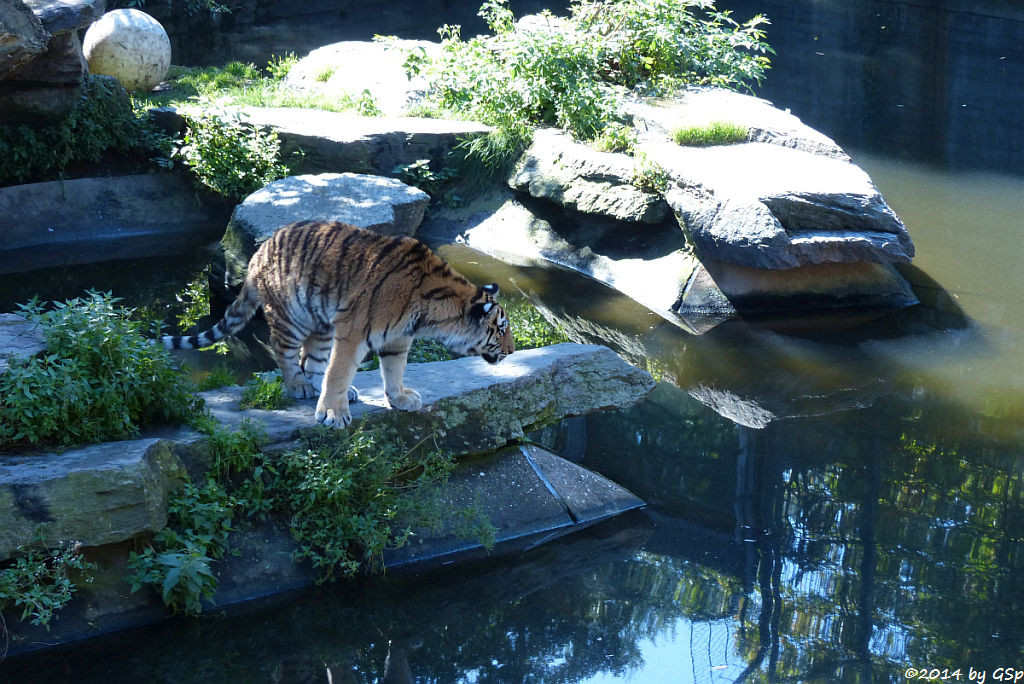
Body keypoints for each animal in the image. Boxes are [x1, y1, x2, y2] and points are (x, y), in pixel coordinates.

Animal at [169, 220, 520, 428]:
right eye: (501, 329)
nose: (514, 350)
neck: (432, 311)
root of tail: (257, 253)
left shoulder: (397, 339)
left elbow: (394, 371)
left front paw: (400, 399)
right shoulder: (353, 334)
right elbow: (338, 371)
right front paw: (332, 415)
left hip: (322, 325)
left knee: (310, 361)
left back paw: (320, 387)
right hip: (292, 317)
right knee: (284, 353)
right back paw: (299, 387)